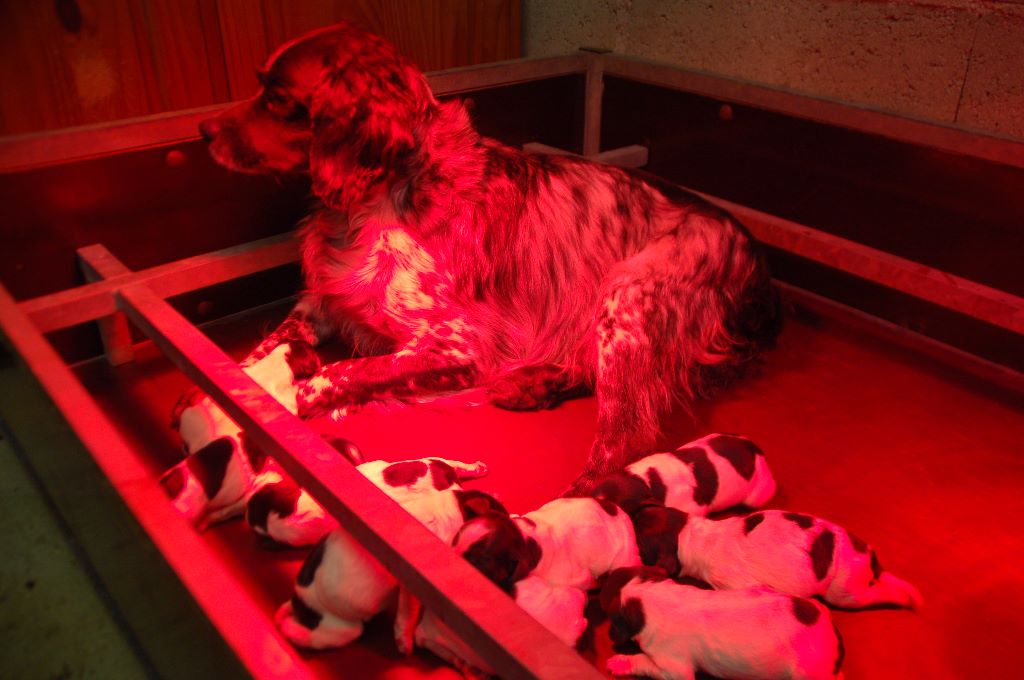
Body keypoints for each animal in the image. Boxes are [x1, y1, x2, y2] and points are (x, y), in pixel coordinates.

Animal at [195, 23, 778, 491]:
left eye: (277, 98)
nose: (203, 130)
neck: (377, 201)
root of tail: (752, 253)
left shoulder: (456, 347)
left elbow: (341, 372)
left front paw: (290, 398)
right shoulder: (317, 307)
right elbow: (248, 357)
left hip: (627, 294)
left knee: (622, 442)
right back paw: (533, 384)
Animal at [630, 503, 921, 610]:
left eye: (640, 543)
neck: (690, 534)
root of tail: (868, 552)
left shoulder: (734, 585)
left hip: (844, 592)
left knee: (877, 592)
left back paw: (906, 597)